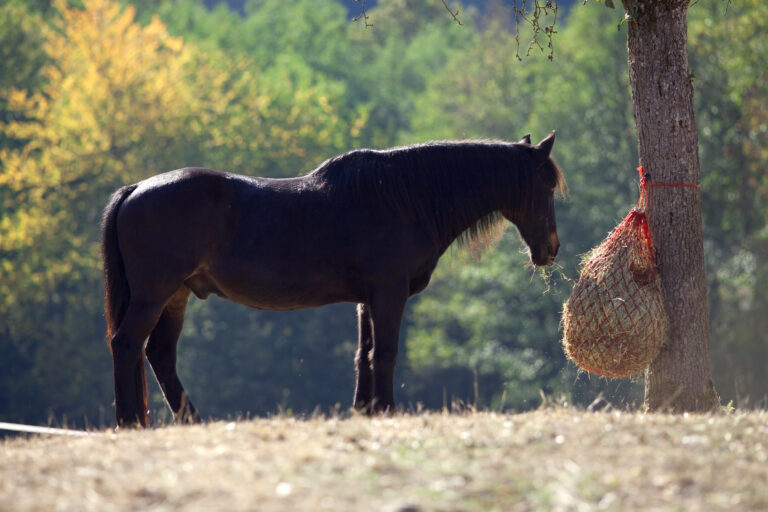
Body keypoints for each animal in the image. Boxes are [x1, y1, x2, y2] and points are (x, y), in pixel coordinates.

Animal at [102, 132, 565, 427]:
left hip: (175, 296)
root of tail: (136, 188)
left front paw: (365, 410)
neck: (404, 197)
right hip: (153, 295)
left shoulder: (368, 299)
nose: (550, 249)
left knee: (159, 355)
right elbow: (385, 353)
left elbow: (364, 354)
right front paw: (387, 410)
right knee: (127, 344)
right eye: (546, 186)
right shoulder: (390, 292)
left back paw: (190, 420)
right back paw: (130, 421)